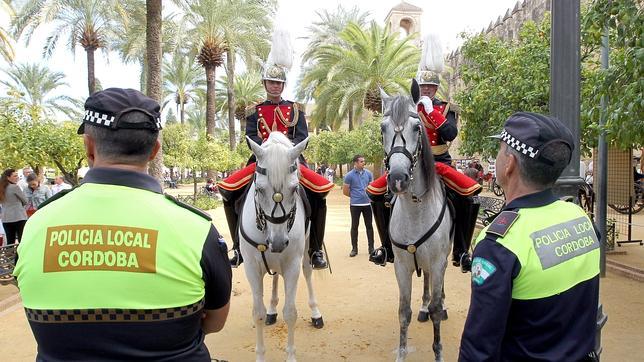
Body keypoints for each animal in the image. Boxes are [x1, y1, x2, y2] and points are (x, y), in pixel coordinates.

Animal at [240, 133, 324, 362]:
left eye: (295, 189)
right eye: (260, 189)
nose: (277, 242)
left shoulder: (292, 264)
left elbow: (290, 313)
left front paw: (291, 355)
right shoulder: (251, 267)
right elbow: (257, 314)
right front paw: (260, 356)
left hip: (305, 252)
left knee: (308, 271)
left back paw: (316, 313)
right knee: (276, 276)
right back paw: (272, 309)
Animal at [382, 80, 452, 360]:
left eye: (416, 127)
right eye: (382, 128)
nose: (398, 179)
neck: (415, 210)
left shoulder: (437, 261)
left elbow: (436, 311)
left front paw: (438, 352)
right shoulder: (402, 266)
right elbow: (404, 311)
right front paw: (401, 353)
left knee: (437, 291)